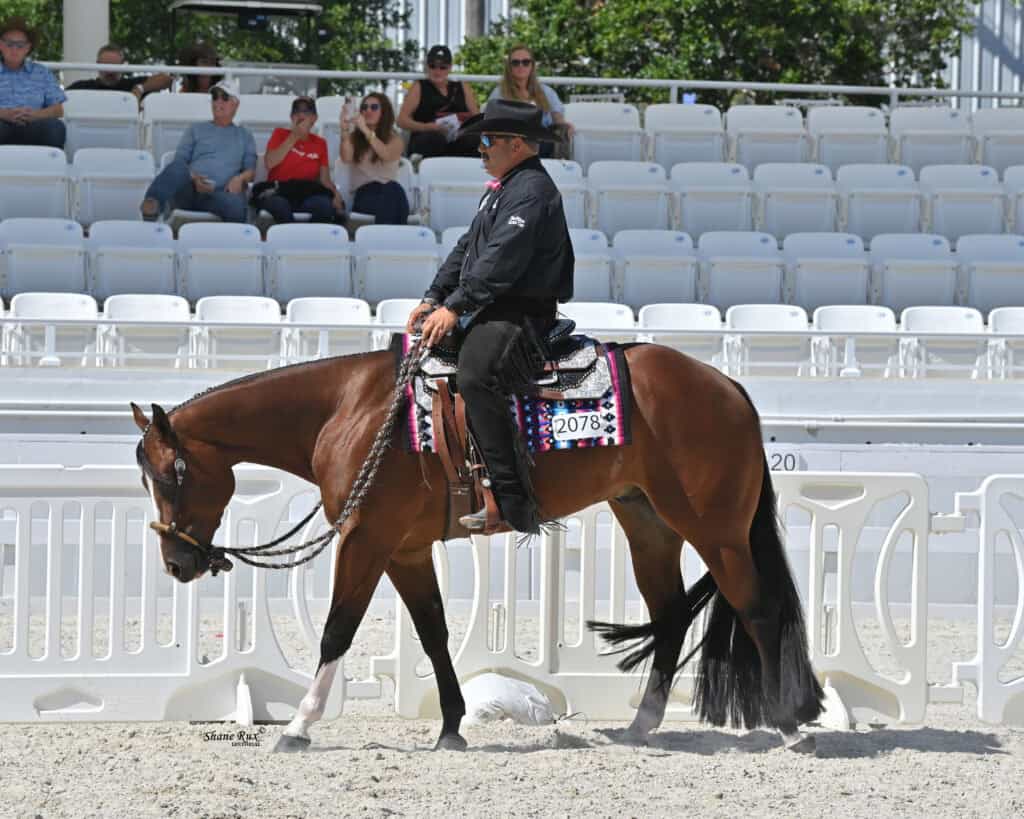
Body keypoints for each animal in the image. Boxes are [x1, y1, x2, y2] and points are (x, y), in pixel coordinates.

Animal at [130, 340, 824, 754]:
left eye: (171, 474)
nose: (177, 563)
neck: (350, 412)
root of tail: (727, 387)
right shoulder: (404, 551)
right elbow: (434, 633)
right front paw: (451, 727)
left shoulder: (365, 539)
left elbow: (337, 630)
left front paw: (299, 726)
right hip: (647, 521)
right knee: (674, 614)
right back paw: (643, 724)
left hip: (716, 530)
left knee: (759, 609)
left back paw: (790, 724)